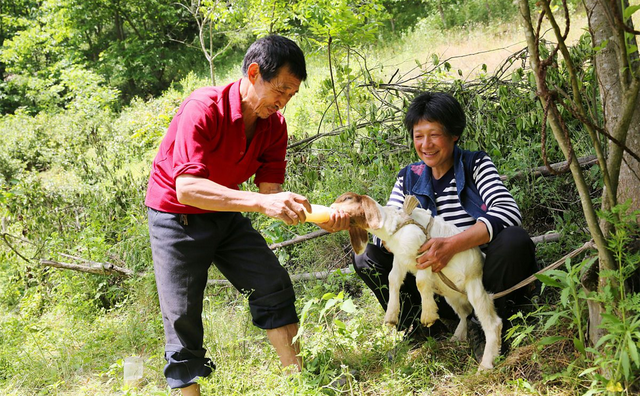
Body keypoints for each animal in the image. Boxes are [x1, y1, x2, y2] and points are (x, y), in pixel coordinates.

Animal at [332, 190, 502, 370]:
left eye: (347, 198)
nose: (331, 209)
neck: (395, 227)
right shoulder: (400, 259)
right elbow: (393, 279)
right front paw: (391, 316)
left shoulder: (425, 254)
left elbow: (420, 282)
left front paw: (427, 316)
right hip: (452, 296)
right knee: (465, 313)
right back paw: (457, 336)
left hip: (475, 288)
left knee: (493, 324)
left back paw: (485, 365)